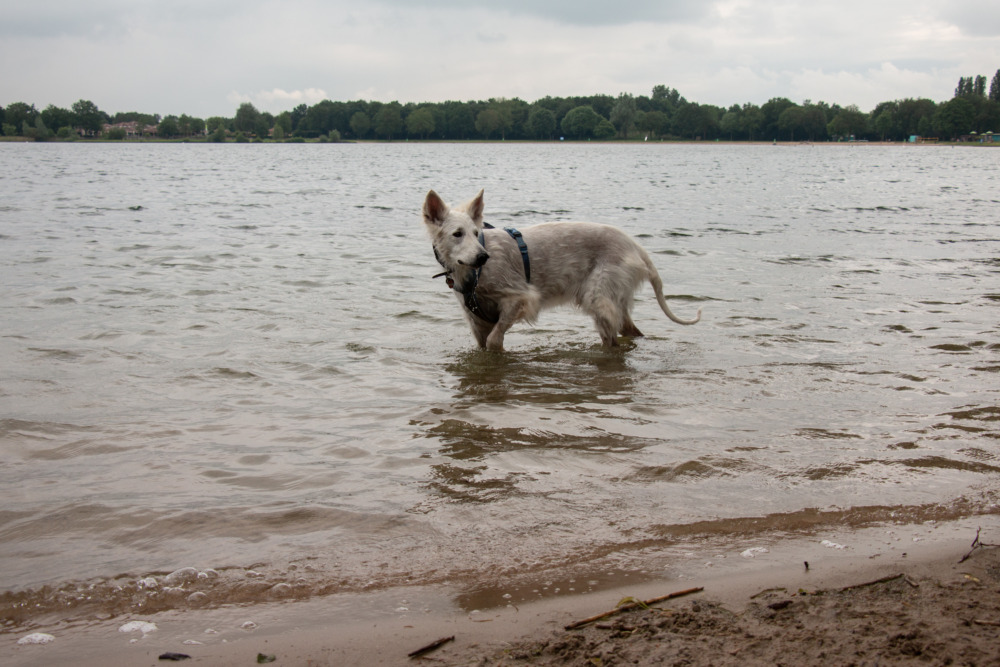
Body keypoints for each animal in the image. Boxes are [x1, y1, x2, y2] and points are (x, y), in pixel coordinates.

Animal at [424, 190, 704, 352]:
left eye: (475, 233)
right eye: (457, 234)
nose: (483, 257)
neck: (475, 274)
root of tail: (635, 246)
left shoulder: (520, 298)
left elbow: (495, 341)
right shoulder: (477, 322)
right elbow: (485, 345)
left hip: (599, 297)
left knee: (612, 340)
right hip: (615, 300)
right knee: (631, 332)